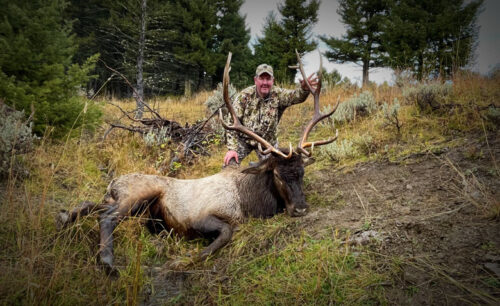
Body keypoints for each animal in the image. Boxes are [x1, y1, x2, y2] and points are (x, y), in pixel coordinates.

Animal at [57, 50, 340, 272]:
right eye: (278, 174)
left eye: (302, 172)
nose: (301, 208)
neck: (251, 202)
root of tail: (114, 182)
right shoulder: (199, 217)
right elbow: (226, 233)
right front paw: (182, 261)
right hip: (137, 194)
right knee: (106, 217)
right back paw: (107, 262)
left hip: (118, 199)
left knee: (91, 205)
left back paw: (64, 218)